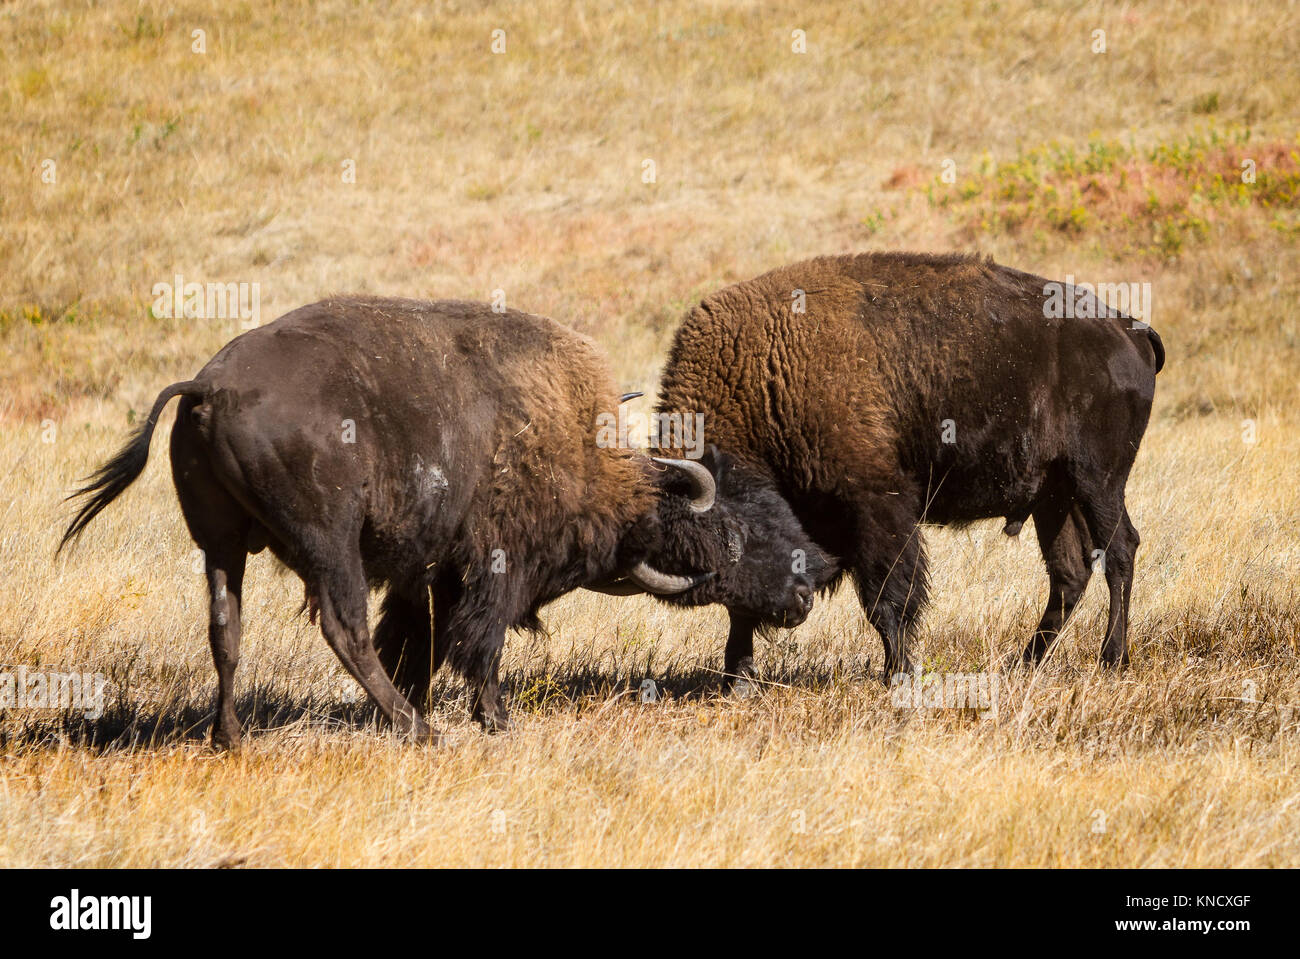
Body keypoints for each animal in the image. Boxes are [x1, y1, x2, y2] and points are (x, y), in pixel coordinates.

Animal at [58, 294, 821, 743]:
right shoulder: (490, 567)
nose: (802, 592)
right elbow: (477, 643)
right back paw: (413, 729)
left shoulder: (423, 572)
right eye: (735, 528)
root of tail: (210, 385)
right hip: (328, 542)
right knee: (341, 627)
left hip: (219, 545)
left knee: (226, 627)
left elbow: (417, 638)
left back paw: (232, 736)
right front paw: (494, 720)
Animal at [655, 250, 1164, 675]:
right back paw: (1027, 662)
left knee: (1120, 550)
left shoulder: (878, 507)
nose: (794, 610)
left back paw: (1112, 658)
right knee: (1070, 571)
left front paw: (895, 672)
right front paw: (736, 676)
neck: (765, 376)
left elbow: (888, 595)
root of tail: (1129, 328)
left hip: (1099, 480)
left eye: (733, 535)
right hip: (1054, 496)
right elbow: (744, 615)